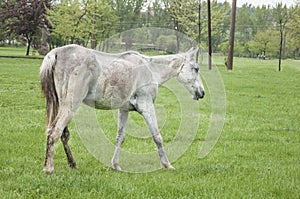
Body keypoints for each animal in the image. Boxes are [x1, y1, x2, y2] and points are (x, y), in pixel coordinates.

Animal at [39, 44, 205, 174]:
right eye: (196, 69)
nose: (202, 93)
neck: (150, 68)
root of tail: (56, 53)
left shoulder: (123, 110)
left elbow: (120, 137)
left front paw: (115, 165)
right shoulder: (147, 106)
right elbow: (157, 136)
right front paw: (167, 165)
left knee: (62, 134)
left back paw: (72, 164)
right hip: (71, 106)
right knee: (55, 132)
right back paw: (49, 169)